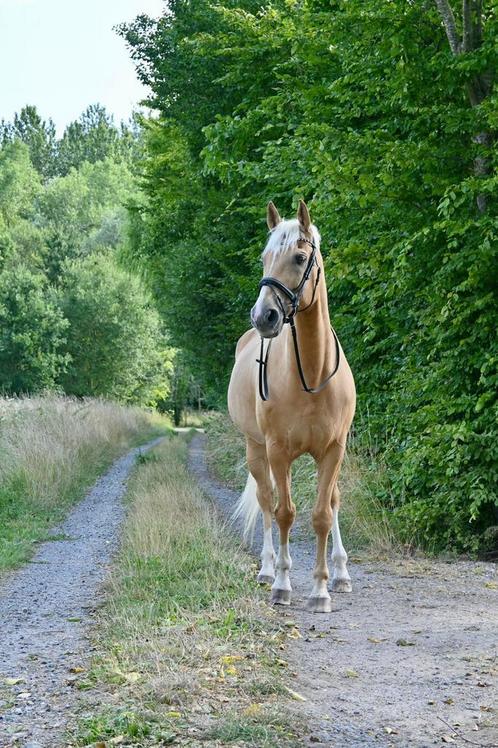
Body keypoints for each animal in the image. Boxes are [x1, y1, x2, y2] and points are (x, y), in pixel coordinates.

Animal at [228, 199, 356, 612]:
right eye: (265, 258)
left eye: (300, 258)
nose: (263, 316)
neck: (312, 376)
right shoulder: (279, 451)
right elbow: (284, 513)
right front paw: (283, 585)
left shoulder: (333, 451)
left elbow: (322, 513)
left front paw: (321, 589)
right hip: (256, 449)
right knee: (267, 501)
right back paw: (268, 570)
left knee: (333, 501)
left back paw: (342, 573)